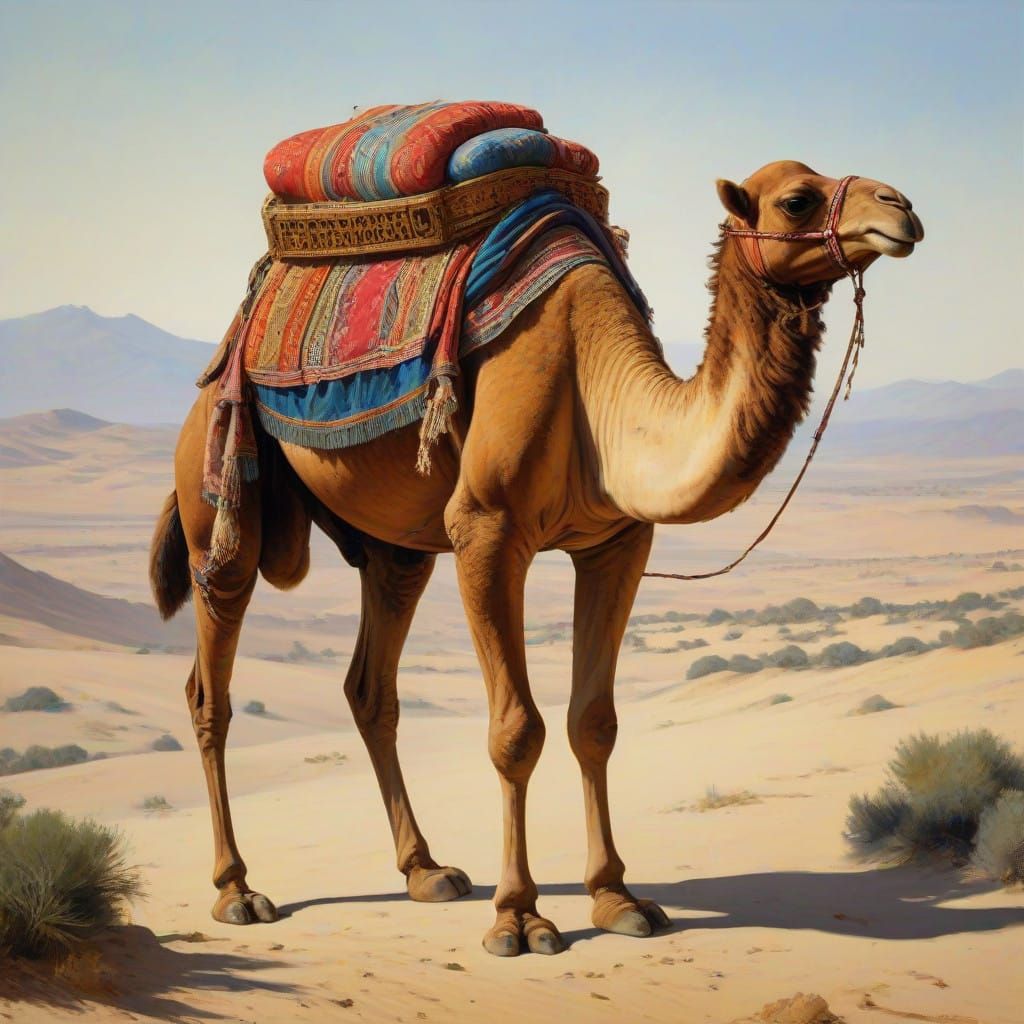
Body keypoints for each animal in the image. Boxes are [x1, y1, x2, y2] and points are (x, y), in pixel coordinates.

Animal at [150, 160, 923, 956]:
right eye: (797, 201)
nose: (901, 209)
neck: (596, 381)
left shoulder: (617, 543)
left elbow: (594, 722)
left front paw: (618, 899)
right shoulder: (486, 531)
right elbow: (516, 731)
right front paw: (519, 918)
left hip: (396, 549)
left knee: (371, 686)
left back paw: (427, 871)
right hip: (219, 497)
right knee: (210, 689)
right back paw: (238, 889)